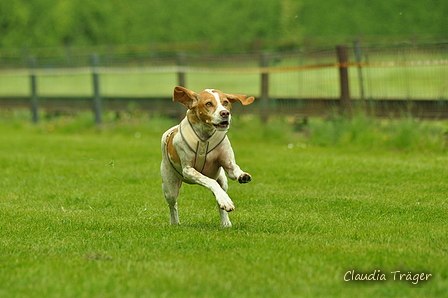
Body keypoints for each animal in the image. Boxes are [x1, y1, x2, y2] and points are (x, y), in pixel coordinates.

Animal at [161, 87, 254, 227]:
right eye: (208, 104)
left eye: (225, 102)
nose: (225, 113)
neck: (205, 137)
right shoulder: (188, 170)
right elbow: (210, 181)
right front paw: (225, 200)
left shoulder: (228, 164)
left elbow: (234, 169)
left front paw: (242, 175)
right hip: (169, 186)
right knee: (173, 205)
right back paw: (175, 223)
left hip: (222, 180)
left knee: (221, 194)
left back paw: (225, 221)